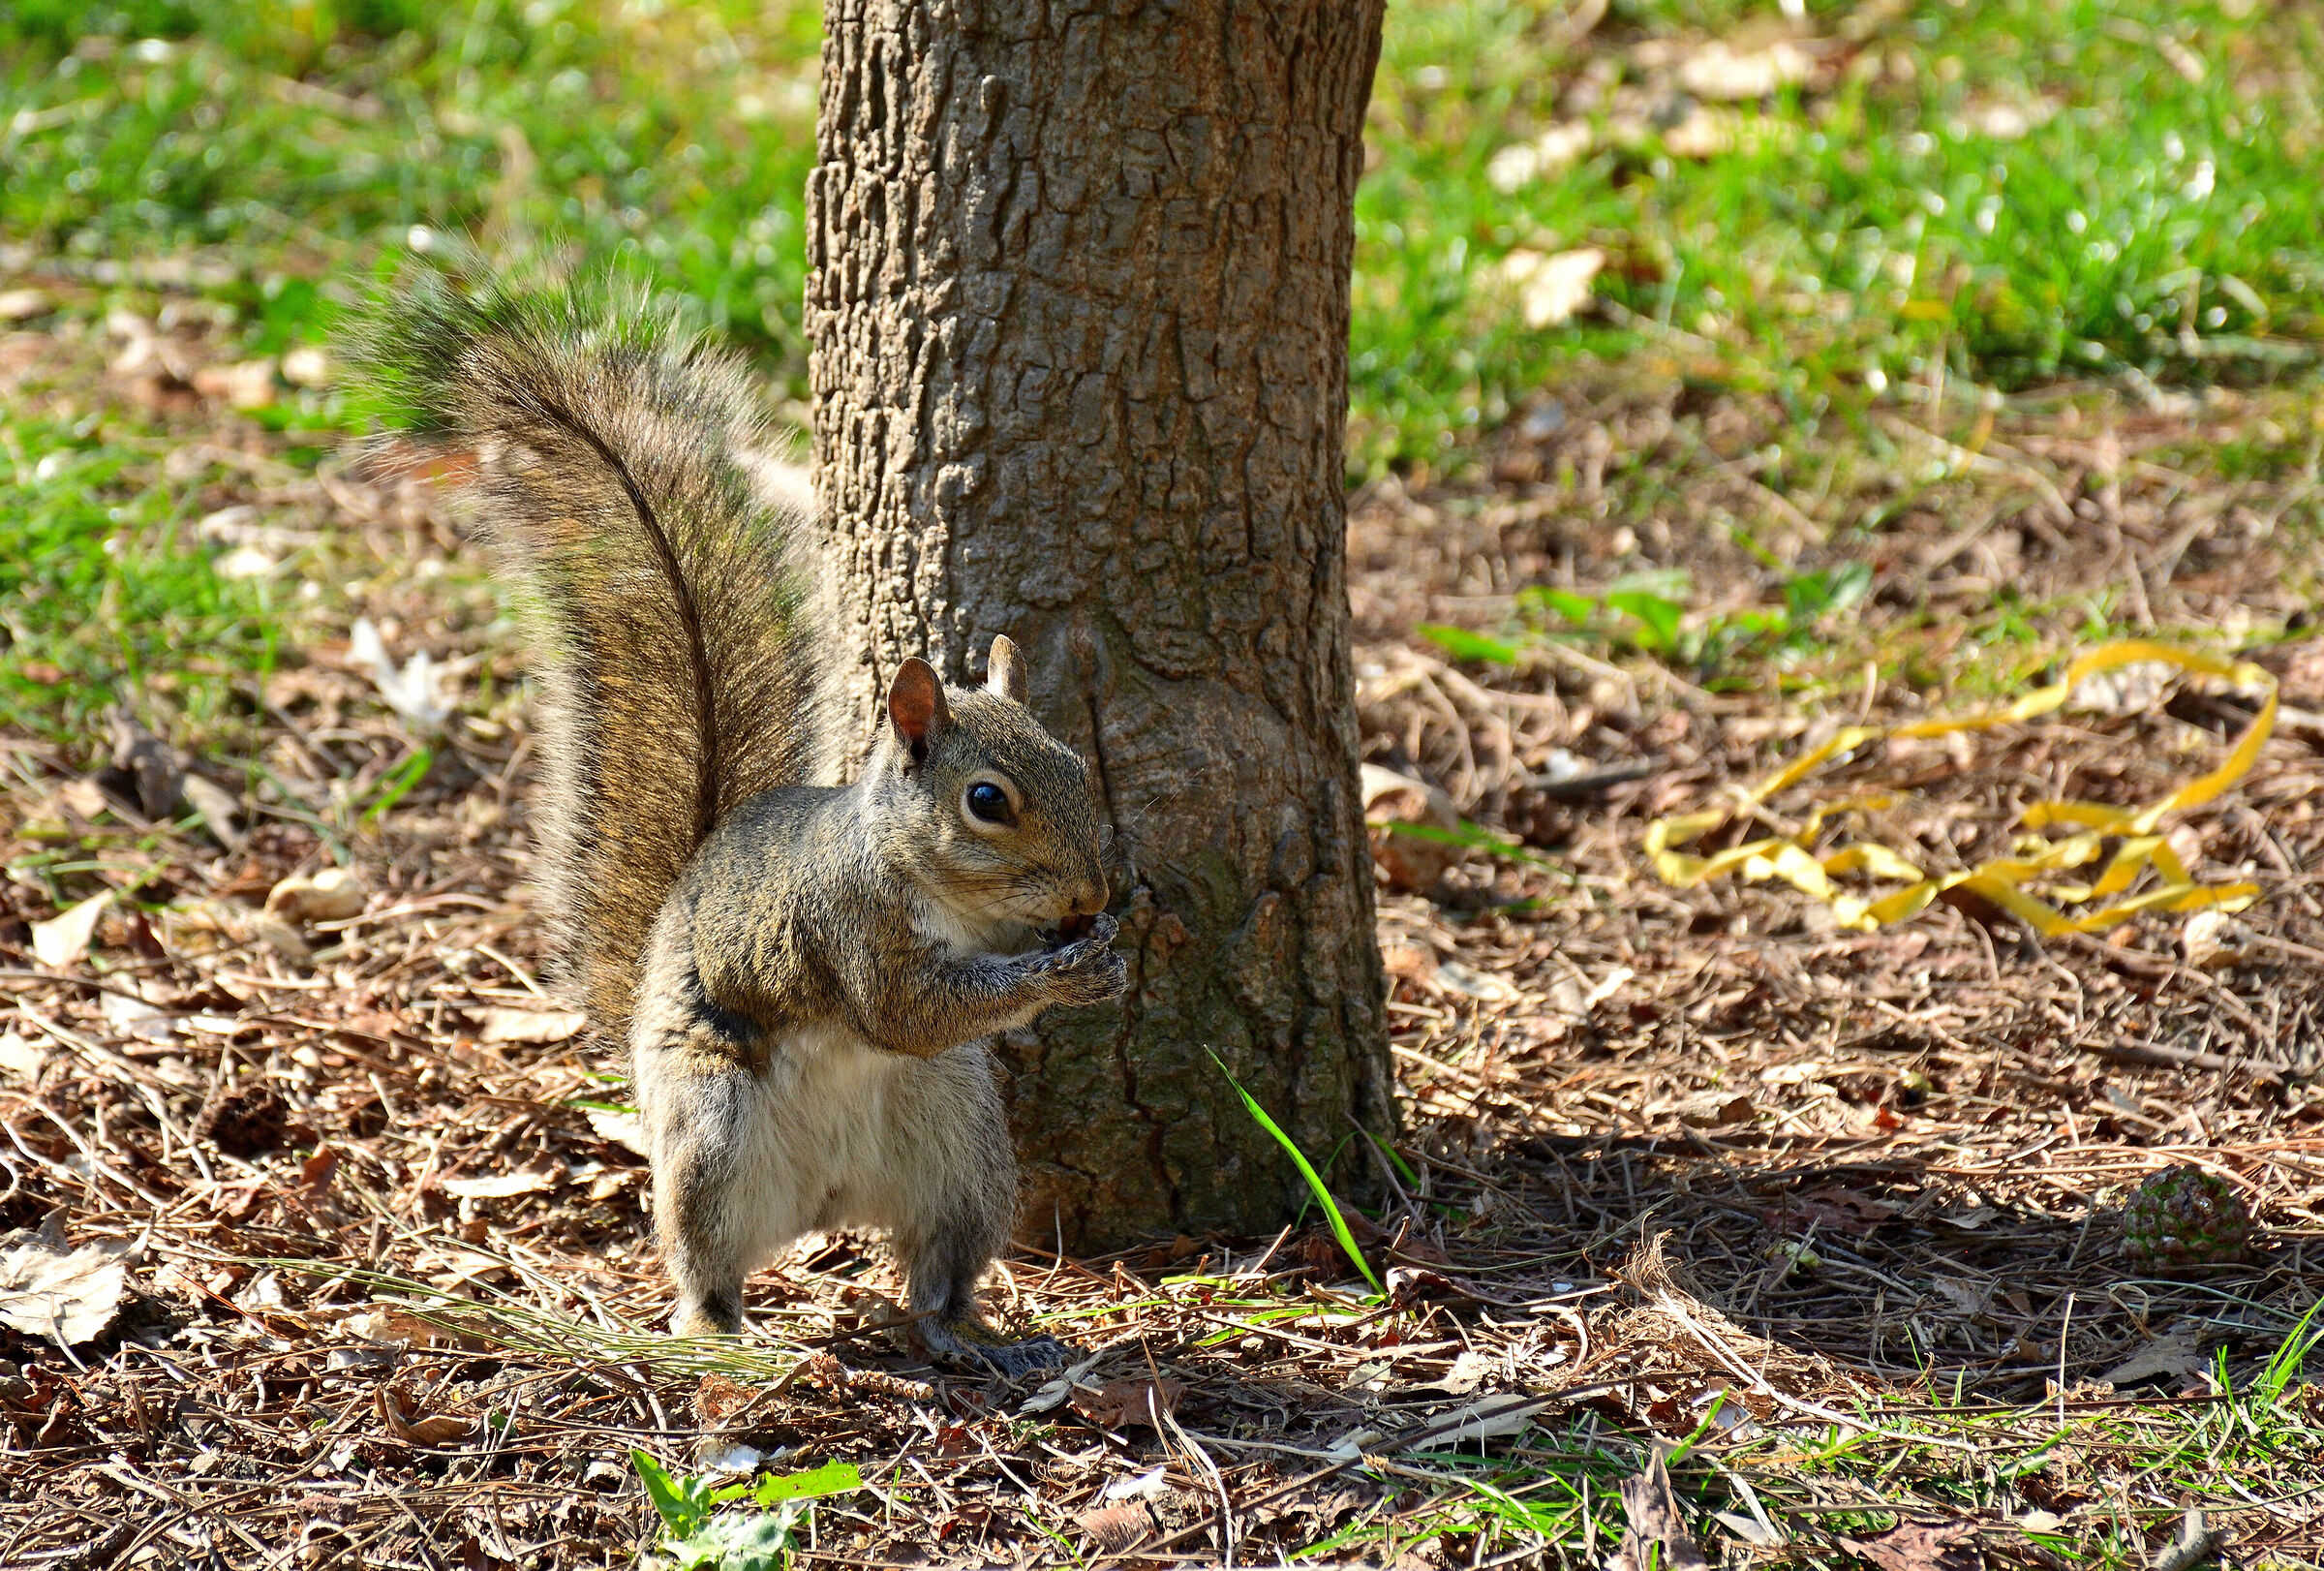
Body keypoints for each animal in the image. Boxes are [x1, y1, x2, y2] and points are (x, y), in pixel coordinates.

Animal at [366, 280, 1127, 1374]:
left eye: (1072, 761)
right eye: (988, 800)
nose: (1094, 892)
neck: (954, 898)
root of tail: (827, 1203)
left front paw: (1102, 956)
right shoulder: (849, 925)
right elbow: (905, 1011)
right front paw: (1057, 973)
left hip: (962, 1152)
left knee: (937, 1268)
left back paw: (971, 1333)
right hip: (714, 1139)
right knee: (706, 1263)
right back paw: (726, 1339)